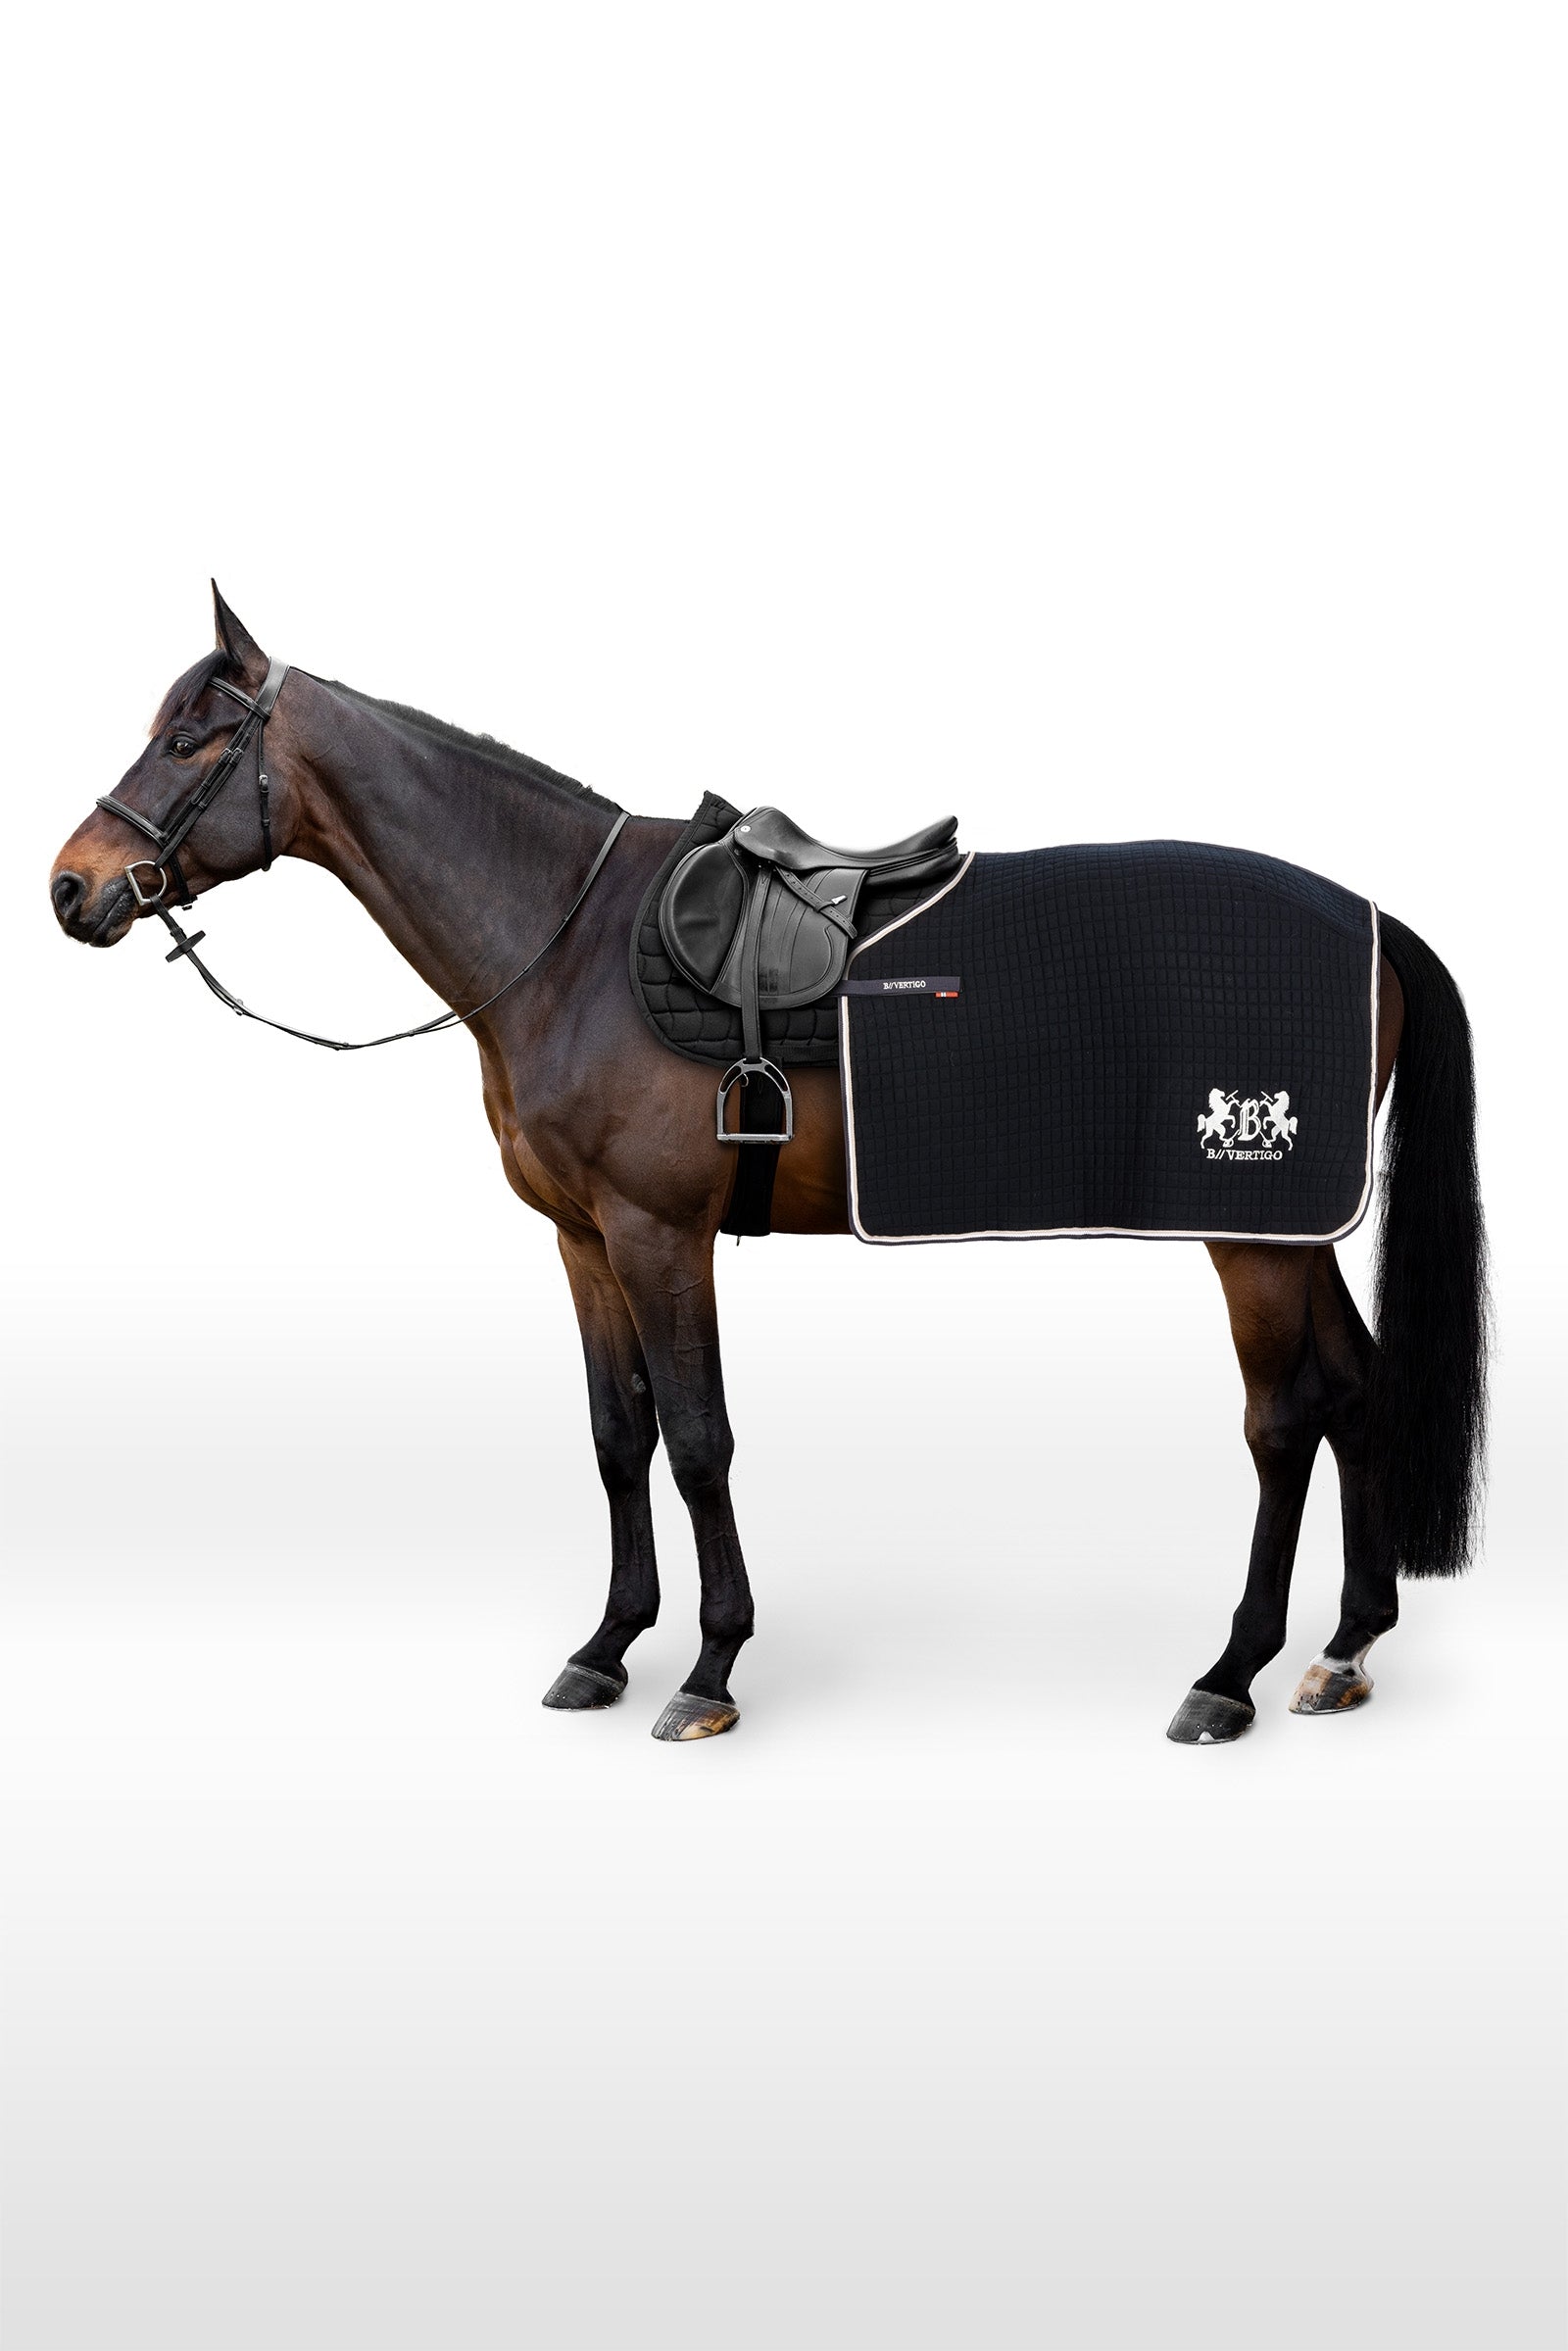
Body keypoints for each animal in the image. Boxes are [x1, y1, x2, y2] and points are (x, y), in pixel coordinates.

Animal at [49, 591, 1489, 1745]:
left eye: (193, 738)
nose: (72, 887)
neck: (566, 942)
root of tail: (1370, 919)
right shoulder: (583, 1240)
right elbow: (617, 1434)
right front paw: (606, 1646)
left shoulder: (658, 1232)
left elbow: (698, 1440)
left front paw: (709, 1667)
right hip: (1289, 1227)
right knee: (1354, 1389)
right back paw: (1344, 1649)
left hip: (1248, 1232)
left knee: (1283, 1417)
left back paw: (1232, 1671)